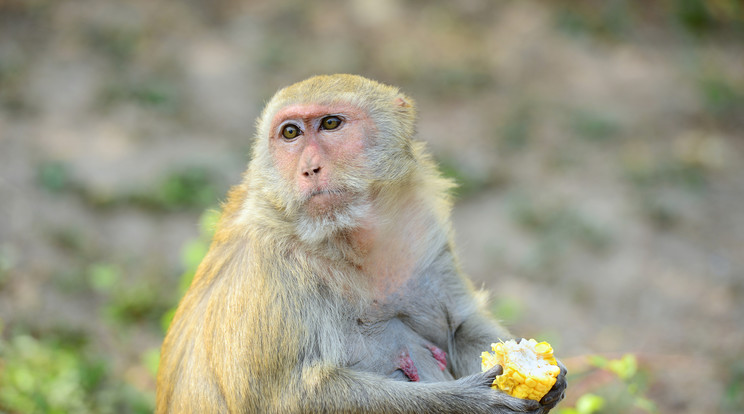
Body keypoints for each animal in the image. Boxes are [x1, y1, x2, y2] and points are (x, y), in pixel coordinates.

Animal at [155, 74, 564, 414]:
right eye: (290, 133)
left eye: (330, 124)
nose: (309, 169)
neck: (345, 240)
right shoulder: (268, 263)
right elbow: (289, 397)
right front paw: (472, 401)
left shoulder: (422, 229)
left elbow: (460, 327)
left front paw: (544, 371)